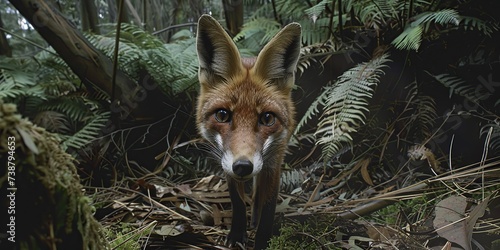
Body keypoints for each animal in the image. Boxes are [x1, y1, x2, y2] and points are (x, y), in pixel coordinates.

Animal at [193, 14, 298, 249]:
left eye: (267, 118)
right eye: (223, 115)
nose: (242, 166)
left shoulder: (273, 162)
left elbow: (267, 207)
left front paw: (262, 240)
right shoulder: (227, 162)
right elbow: (238, 202)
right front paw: (236, 233)